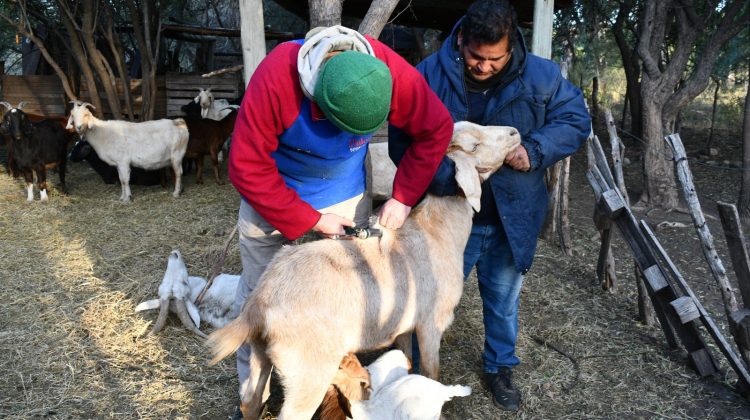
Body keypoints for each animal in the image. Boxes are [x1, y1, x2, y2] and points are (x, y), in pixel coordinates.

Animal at [209, 121, 520, 420]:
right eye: (474, 145)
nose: (514, 133)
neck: (437, 230)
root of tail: (260, 301)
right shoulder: (431, 323)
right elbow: (432, 373)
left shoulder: (403, 324)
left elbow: (406, 358)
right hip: (307, 369)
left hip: (259, 355)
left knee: (251, 401)